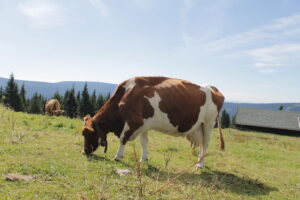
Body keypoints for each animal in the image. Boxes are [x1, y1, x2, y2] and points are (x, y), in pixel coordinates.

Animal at [82, 76, 225, 167]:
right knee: (201, 144)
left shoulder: (133, 121)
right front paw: (143, 159)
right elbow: (144, 142)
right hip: (199, 126)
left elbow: (123, 138)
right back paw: (198, 161)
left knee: (205, 144)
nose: (84, 152)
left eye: (85, 133)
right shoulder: (143, 125)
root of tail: (212, 88)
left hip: (208, 123)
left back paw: (200, 164)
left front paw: (117, 156)